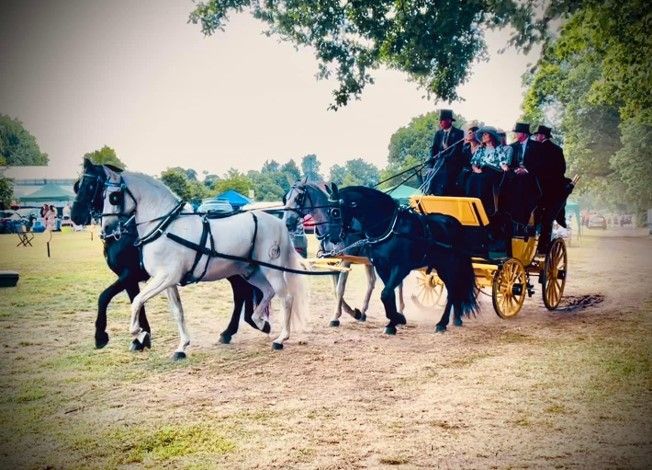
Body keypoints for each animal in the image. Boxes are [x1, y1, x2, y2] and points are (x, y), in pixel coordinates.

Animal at [70, 158, 266, 348]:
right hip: (232, 269)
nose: (75, 216)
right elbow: (141, 302)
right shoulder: (137, 278)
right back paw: (234, 329)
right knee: (241, 291)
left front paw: (104, 336)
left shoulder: (134, 274)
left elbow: (108, 297)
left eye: (91, 186)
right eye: (77, 186)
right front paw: (143, 336)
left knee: (242, 293)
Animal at [100, 166, 308, 356]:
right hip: (251, 273)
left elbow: (137, 300)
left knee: (286, 298)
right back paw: (259, 321)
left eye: (114, 197)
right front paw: (181, 346)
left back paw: (281, 339)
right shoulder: (168, 282)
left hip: (272, 270)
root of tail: (279, 223)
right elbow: (177, 311)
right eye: (103, 195)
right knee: (268, 292)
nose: (105, 229)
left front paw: (139, 333)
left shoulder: (165, 277)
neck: (165, 228)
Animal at [326, 184, 478, 334]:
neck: (389, 228)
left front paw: (397, 319)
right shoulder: (382, 267)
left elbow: (385, 293)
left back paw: (442, 323)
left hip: (448, 266)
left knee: (452, 290)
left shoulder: (401, 267)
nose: (332, 238)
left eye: (335, 212)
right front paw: (394, 321)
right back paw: (456, 319)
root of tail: (455, 223)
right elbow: (389, 294)